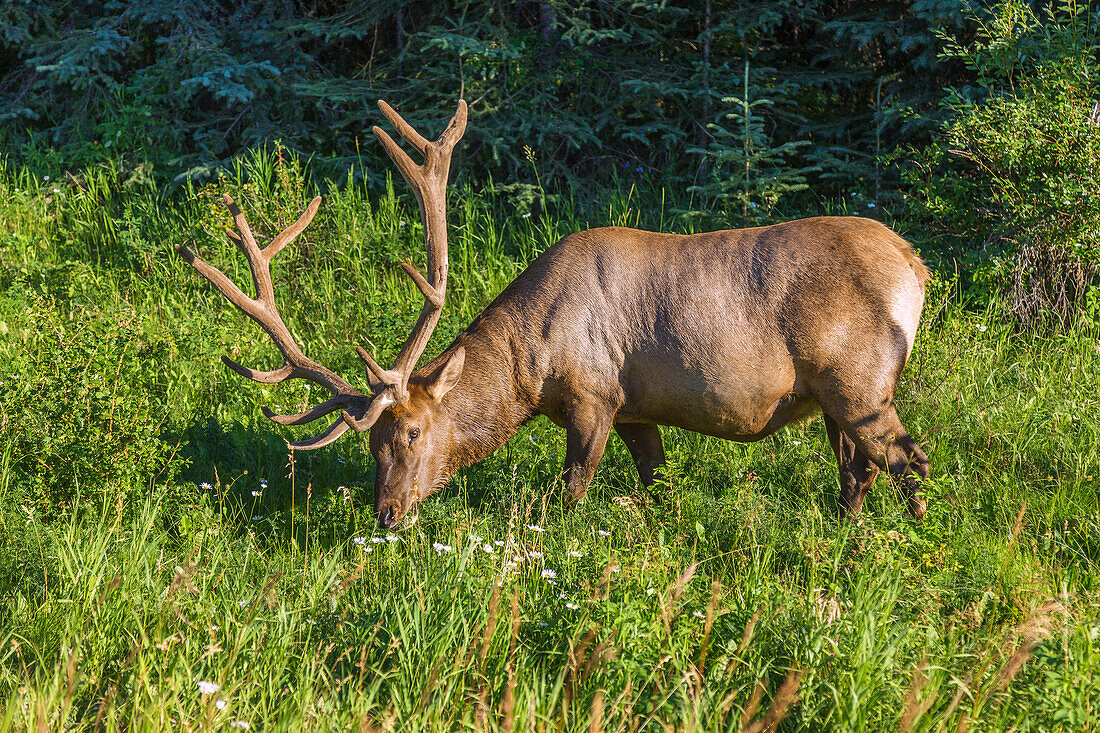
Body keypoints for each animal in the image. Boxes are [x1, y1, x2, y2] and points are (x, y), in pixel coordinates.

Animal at [176, 100, 932, 528]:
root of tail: (916, 267)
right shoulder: (636, 409)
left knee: (907, 460)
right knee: (858, 470)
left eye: (414, 431)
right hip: (834, 397)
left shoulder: (594, 395)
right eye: (370, 442)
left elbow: (571, 493)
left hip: (858, 378)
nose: (387, 514)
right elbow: (657, 483)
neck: (529, 367)